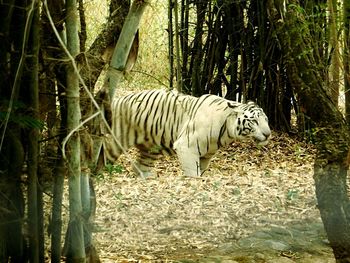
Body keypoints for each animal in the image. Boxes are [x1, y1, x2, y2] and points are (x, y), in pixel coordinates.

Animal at [102, 88, 272, 177]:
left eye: (266, 119)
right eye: (254, 121)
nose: (268, 134)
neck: (226, 130)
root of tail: (115, 101)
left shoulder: (205, 156)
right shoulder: (186, 147)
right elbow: (193, 173)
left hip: (150, 151)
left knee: (139, 167)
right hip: (113, 143)